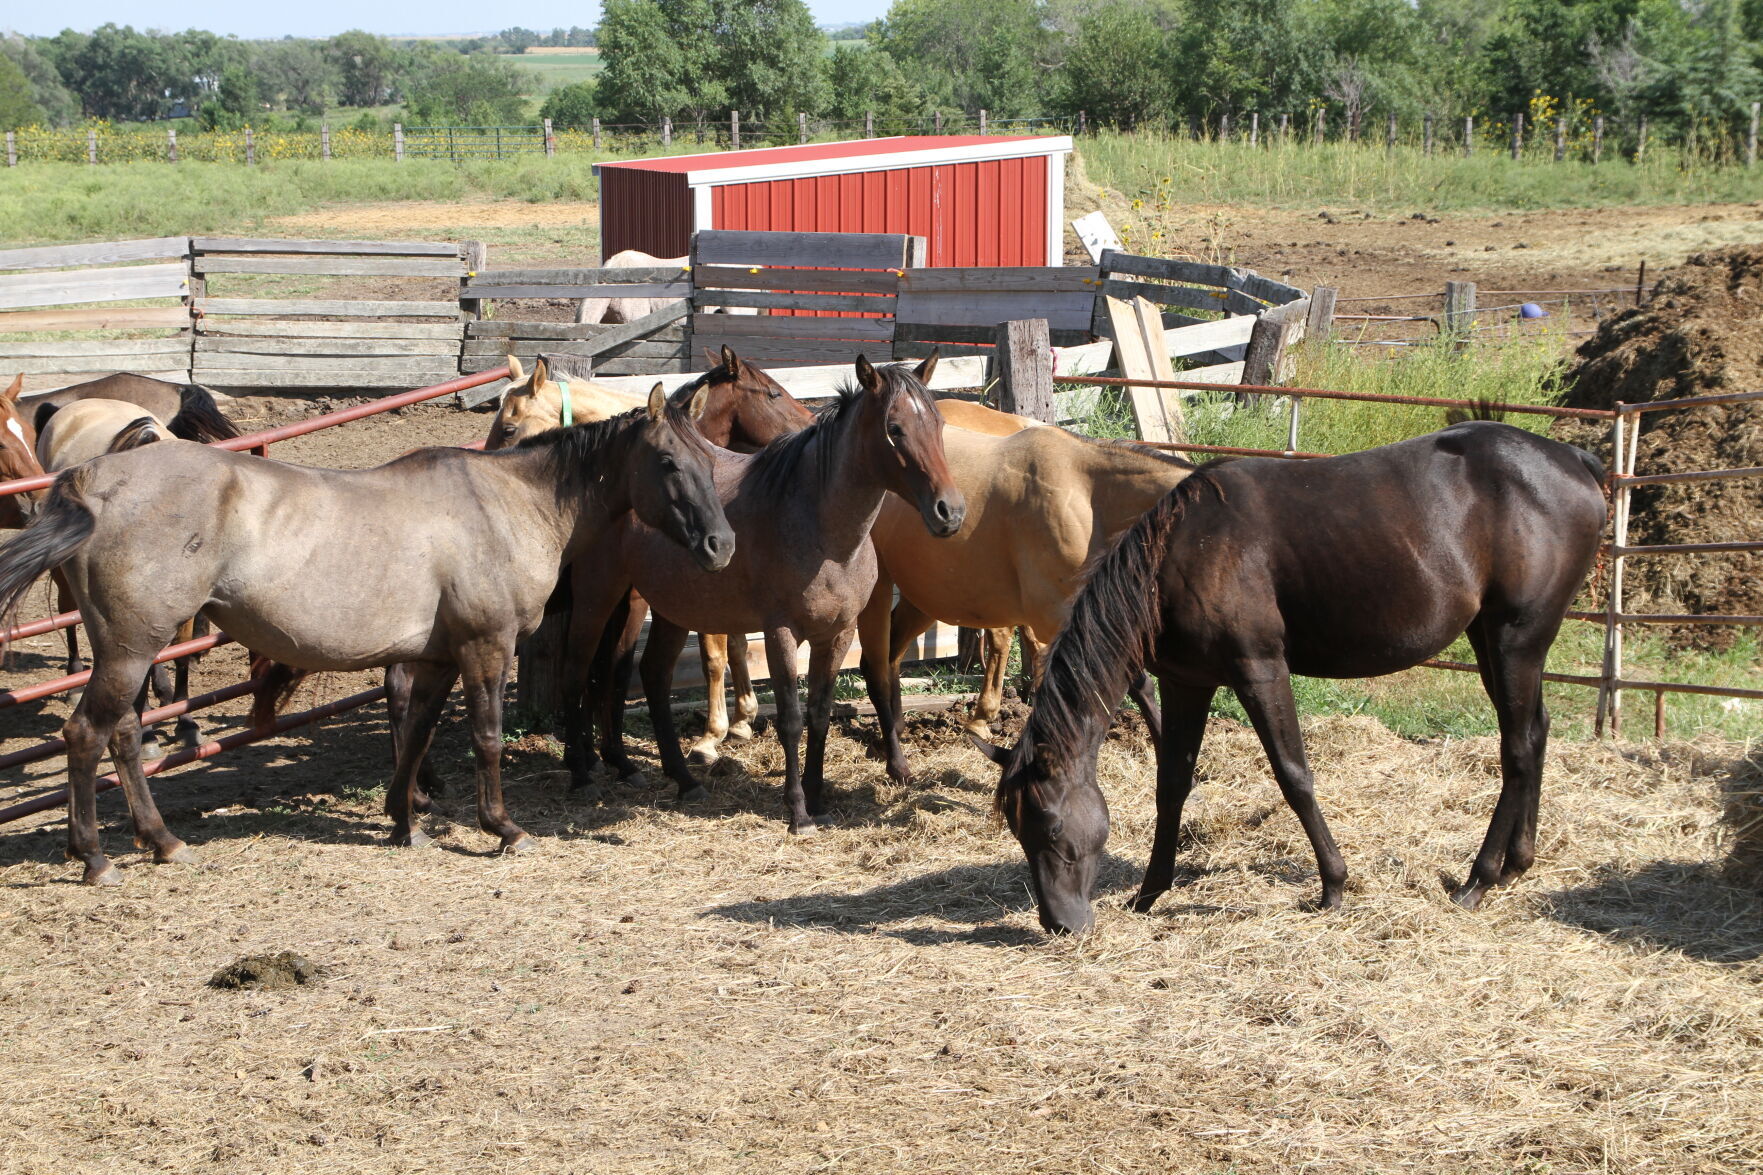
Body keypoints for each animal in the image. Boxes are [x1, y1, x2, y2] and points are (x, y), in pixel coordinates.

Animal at [0, 388, 733, 882]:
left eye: (708, 457)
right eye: (668, 462)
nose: (721, 545)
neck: (505, 504)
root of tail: (94, 480)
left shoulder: (438, 656)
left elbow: (420, 732)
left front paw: (404, 819)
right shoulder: (485, 647)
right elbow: (486, 739)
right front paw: (501, 827)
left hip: (126, 647)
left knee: (121, 735)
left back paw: (159, 839)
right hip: (132, 647)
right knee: (86, 734)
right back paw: (95, 856)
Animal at [560, 356, 966, 832]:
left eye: (939, 424)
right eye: (895, 429)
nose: (950, 511)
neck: (823, 531)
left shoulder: (838, 634)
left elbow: (821, 714)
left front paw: (817, 795)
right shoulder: (781, 633)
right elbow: (790, 718)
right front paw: (798, 810)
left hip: (665, 607)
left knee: (651, 674)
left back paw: (680, 779)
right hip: (599, 593)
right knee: (577, 670)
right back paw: (581, 773)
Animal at [980, 416, 1614, 931]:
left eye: (1052, 829)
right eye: (1017, 829)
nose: (1060, 925)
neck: (1182, 555)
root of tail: (1571, 459)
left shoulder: (1259, 671)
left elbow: (1294, 776)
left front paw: (1333, 885)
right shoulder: (1188, 683)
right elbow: (1172, 784)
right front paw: (1150, 891)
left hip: (1514, 639)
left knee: (1517, 748)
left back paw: (1479, 879)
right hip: (1493, 641)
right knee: (1533, 733)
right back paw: (1515, 865)